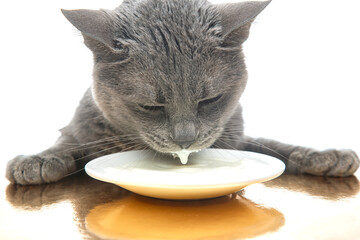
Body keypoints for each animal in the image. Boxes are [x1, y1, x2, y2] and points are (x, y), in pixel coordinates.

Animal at [4, 0, 358, 185]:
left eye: (210, 100)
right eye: (150, 106)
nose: (185, 140)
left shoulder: (237, 137)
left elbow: (275, 147)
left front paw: (326, 156)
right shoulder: (81, 128)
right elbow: (66, 143)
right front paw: (36, 161)